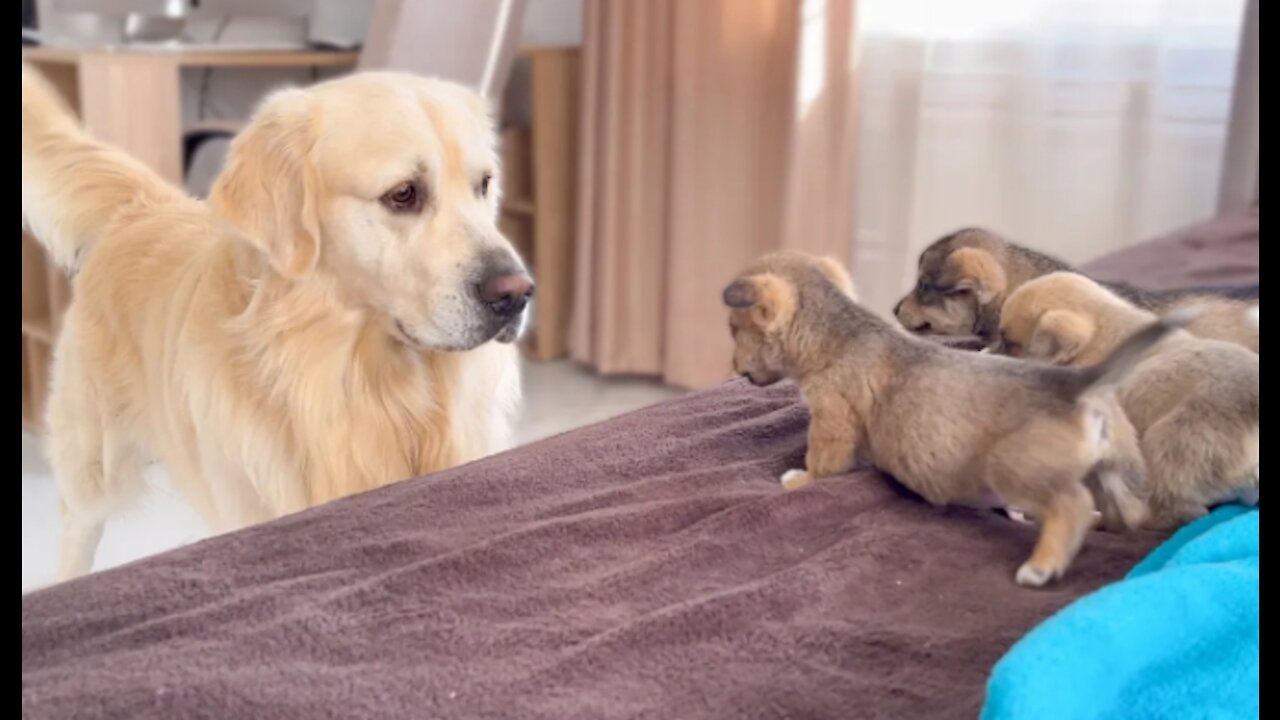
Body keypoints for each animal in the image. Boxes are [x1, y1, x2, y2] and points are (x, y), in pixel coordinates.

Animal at [21, 64, 529, 579]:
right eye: (403, 194)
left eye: (484, 184)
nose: (517, 294)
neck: (373, 390)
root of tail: (143, 208)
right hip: (92, 468)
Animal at [721, 251, 1177, 584]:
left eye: (733, 329)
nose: (736, 369)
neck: (837, 334)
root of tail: (1079, 383)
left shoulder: (832, 420)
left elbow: (822, 465)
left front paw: (799, 480)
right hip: (1117, 469)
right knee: (1125, 512)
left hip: (1013, 469)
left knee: (1072, 506)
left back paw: (1042, 565)